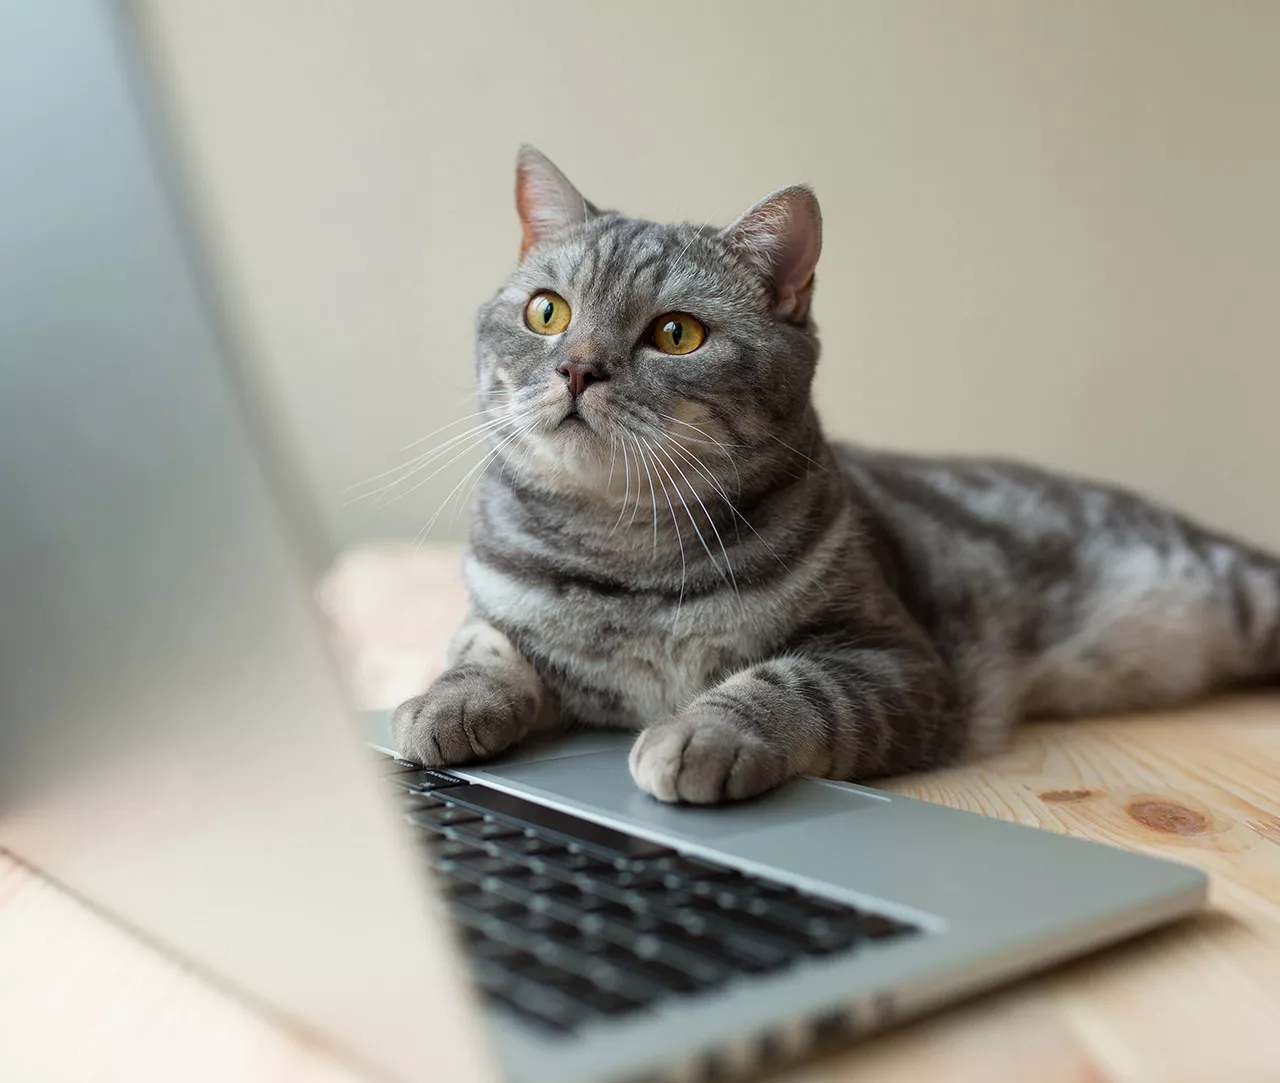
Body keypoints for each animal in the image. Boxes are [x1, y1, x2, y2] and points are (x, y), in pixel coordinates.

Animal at [391, 146, 1280, 803]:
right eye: (548, 311)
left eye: (677, 334)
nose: (577, 368)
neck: (625, 555)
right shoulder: (495, 610)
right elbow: (483, 645)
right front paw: (445, 699)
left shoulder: (897, 658)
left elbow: (786, 682)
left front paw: (700, 731)